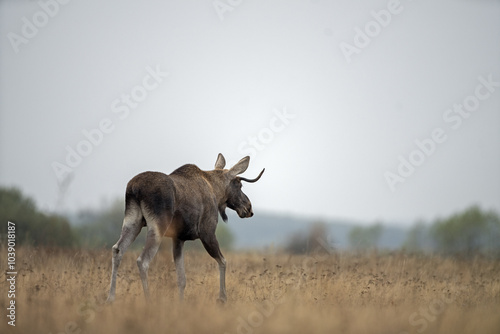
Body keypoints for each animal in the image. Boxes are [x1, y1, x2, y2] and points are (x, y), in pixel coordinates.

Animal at [106, 153, 266, 304]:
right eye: (239, 185)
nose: (249, 208)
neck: (216, 191)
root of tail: (134, 188)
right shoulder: (207, 232)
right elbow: (223, 261)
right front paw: (222, 298)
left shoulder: (178, 238)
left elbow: (181, 279)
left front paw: (181, 303)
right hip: (157, 225)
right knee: (142, 260)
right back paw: (148, 301)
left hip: (133, 221)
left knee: (117, 249)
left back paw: (111, 297)